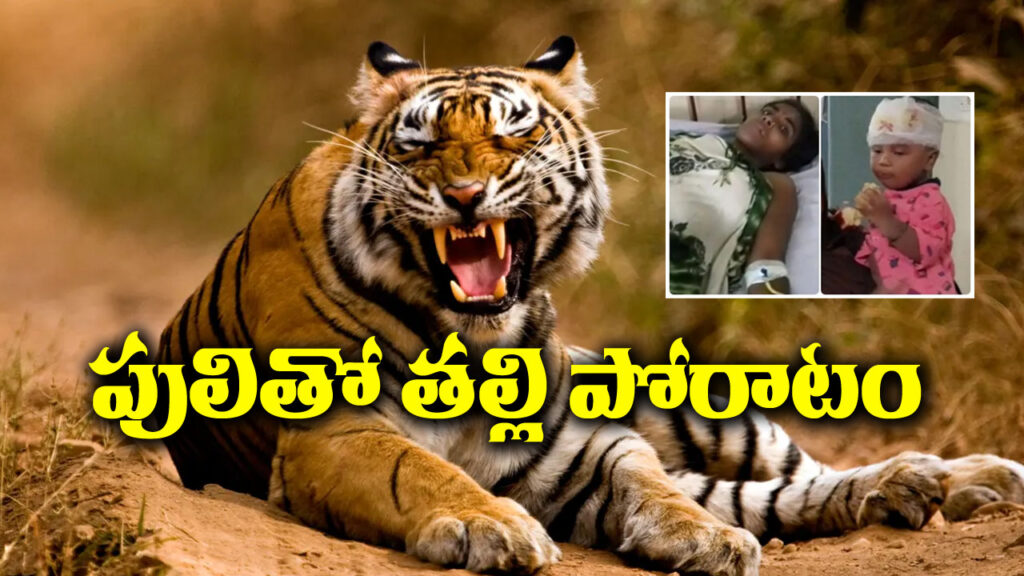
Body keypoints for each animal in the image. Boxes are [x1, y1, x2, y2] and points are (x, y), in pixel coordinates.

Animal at [157, 37, 1024, 575]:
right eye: (421, 144)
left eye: (514, 136)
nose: (464, 193)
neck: (473, 343)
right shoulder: (334, 433)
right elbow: (420, 469)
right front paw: (493, 525)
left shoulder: (575, 447)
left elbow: (650, 483)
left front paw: (703, 539)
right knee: (776, 493)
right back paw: (921, 488)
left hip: (697, 410)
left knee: (794, 473)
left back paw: (959, 477)